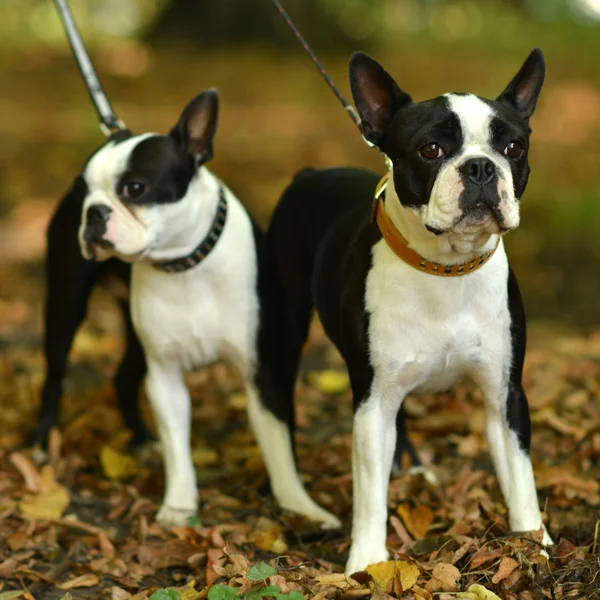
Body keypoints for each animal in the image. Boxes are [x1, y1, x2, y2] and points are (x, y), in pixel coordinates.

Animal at [48, 89, 340, 528]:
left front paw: (301, 508)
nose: (93, 211)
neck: (184, 264)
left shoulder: (261, 371)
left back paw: (140, 440)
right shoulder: (165, 376)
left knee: (122, 377)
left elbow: (278, 446)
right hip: (66, 304)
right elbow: (178, 449)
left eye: (135, 188)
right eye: (83, 191)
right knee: (54, 375)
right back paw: (41, 445)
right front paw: (179, 506)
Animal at [268, 50, 552, 572]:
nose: (481, 168)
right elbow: (369, 492)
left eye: (514, 148)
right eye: (431, 150)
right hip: (288, 325)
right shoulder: (371, 401)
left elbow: (521, 477)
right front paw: (365, 562)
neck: (445, 269)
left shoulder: (505, 396)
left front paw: (535, 544)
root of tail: (310, 172)